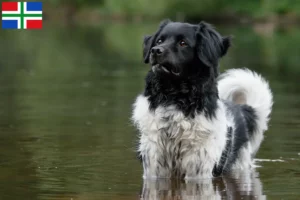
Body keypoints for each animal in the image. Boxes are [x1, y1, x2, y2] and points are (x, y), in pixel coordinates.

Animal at [131, 19, 272, 180]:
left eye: (183, 43)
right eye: (159, 40)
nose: (155, 50)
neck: (175, 98)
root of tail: (241, 108)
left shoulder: (199, 165)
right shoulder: (154, 163)